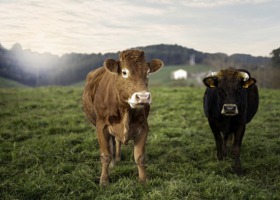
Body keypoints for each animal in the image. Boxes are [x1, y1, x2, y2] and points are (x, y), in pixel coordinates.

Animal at [82, 49, 163, 184]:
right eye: (124, 72)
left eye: (147, 73)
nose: (143, 97)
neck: (125, 109)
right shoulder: (101, 126)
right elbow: (106, 155)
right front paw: (104, 181)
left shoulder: (143, 126)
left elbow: (139, 157)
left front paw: (143, 180)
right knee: (112, 145)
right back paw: (113, 163)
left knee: (117, 141)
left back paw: (118, 158)